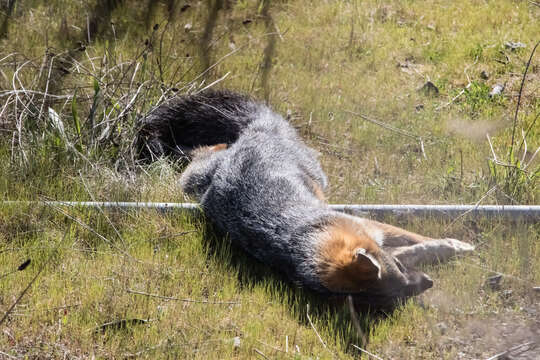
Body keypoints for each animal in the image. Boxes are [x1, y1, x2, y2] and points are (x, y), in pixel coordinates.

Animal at [138, 90, 472, 300]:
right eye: (399, 288)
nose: (429, 283)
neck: (299, 239)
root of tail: (258, 131)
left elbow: (410, 243)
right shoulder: (367, 227)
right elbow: (418, 242)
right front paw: (454, 246)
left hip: (194, 179)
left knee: (204, 150)